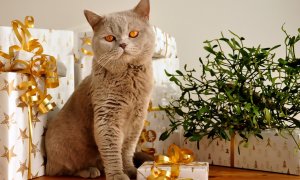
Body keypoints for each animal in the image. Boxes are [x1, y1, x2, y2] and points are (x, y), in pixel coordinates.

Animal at [45, 0, 156, 179]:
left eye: (133, 34)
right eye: (110, 38)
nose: (123, 44)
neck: (128, 77)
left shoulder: (137, 119)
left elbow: (127, 150)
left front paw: (130, 170)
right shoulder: (107, 117)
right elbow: (112, 151)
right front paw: (117, 174)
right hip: (61, 146)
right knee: (62, 169)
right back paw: (90, 170)